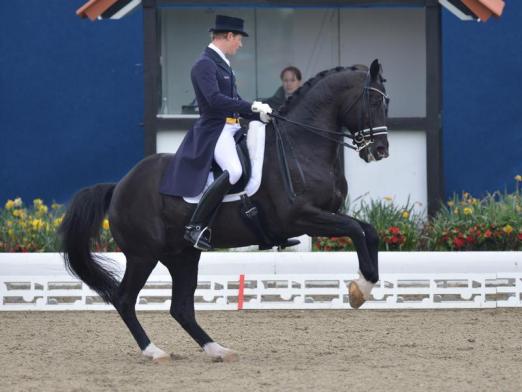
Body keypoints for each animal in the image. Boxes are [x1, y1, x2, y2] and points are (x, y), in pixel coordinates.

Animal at [60, 59, 386, 362]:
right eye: (373, 102)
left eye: (387, 101)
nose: (380, 151)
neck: (300, 145)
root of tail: (119, 186)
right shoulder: (301, 217)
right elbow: (356, 230)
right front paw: (360, 289)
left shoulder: (321, 216)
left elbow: (368, 231)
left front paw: (364, 285)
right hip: (143, 255)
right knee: (125, 299)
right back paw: (154, 351)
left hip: (182, 256)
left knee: (180, 308)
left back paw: (217, 349)